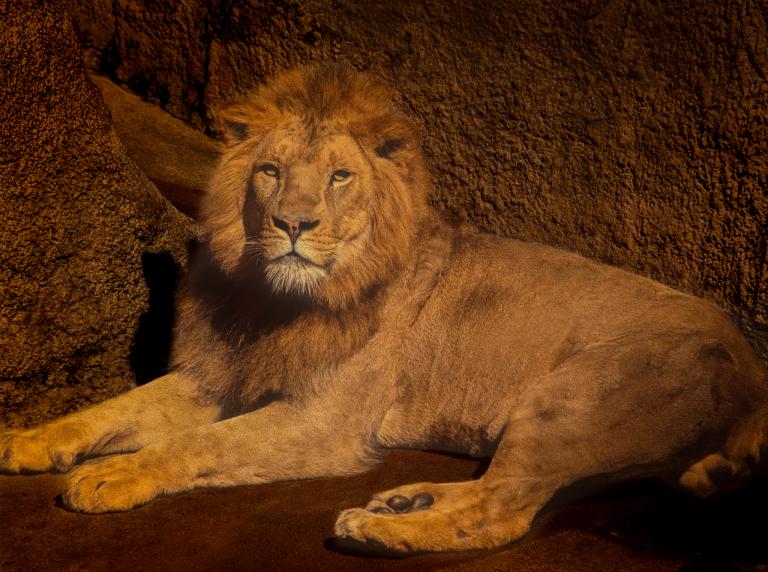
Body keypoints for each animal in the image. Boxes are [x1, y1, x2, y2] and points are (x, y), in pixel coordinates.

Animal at [1, 63, 768, 556]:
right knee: (514, 491)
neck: (275, 300)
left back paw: (380, 531)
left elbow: (200, 445)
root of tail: (752, 365)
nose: (292, 223)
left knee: (504, 513)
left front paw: (110, 476)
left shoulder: (320, 423)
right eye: (270, 171)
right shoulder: (216, 377)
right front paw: (27, 440)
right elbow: (112, 409)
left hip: (567, 401)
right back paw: (404, 502)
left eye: (340, 176)